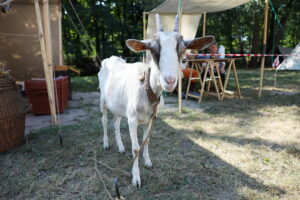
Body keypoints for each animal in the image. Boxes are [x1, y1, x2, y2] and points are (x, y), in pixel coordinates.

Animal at [98, 14, 213, 188]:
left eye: (182, 49)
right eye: (152, 49)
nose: (170, 80)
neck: (147, 88)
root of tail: (110, 59)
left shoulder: (150, 118)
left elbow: (146, 142)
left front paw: (148, 162)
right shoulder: (132, 119)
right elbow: (136, 148)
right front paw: (136, 178)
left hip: (118, 104)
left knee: (115, 121)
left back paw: (120, 147)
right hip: (103, 100)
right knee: (104, 121)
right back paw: (106, 144)